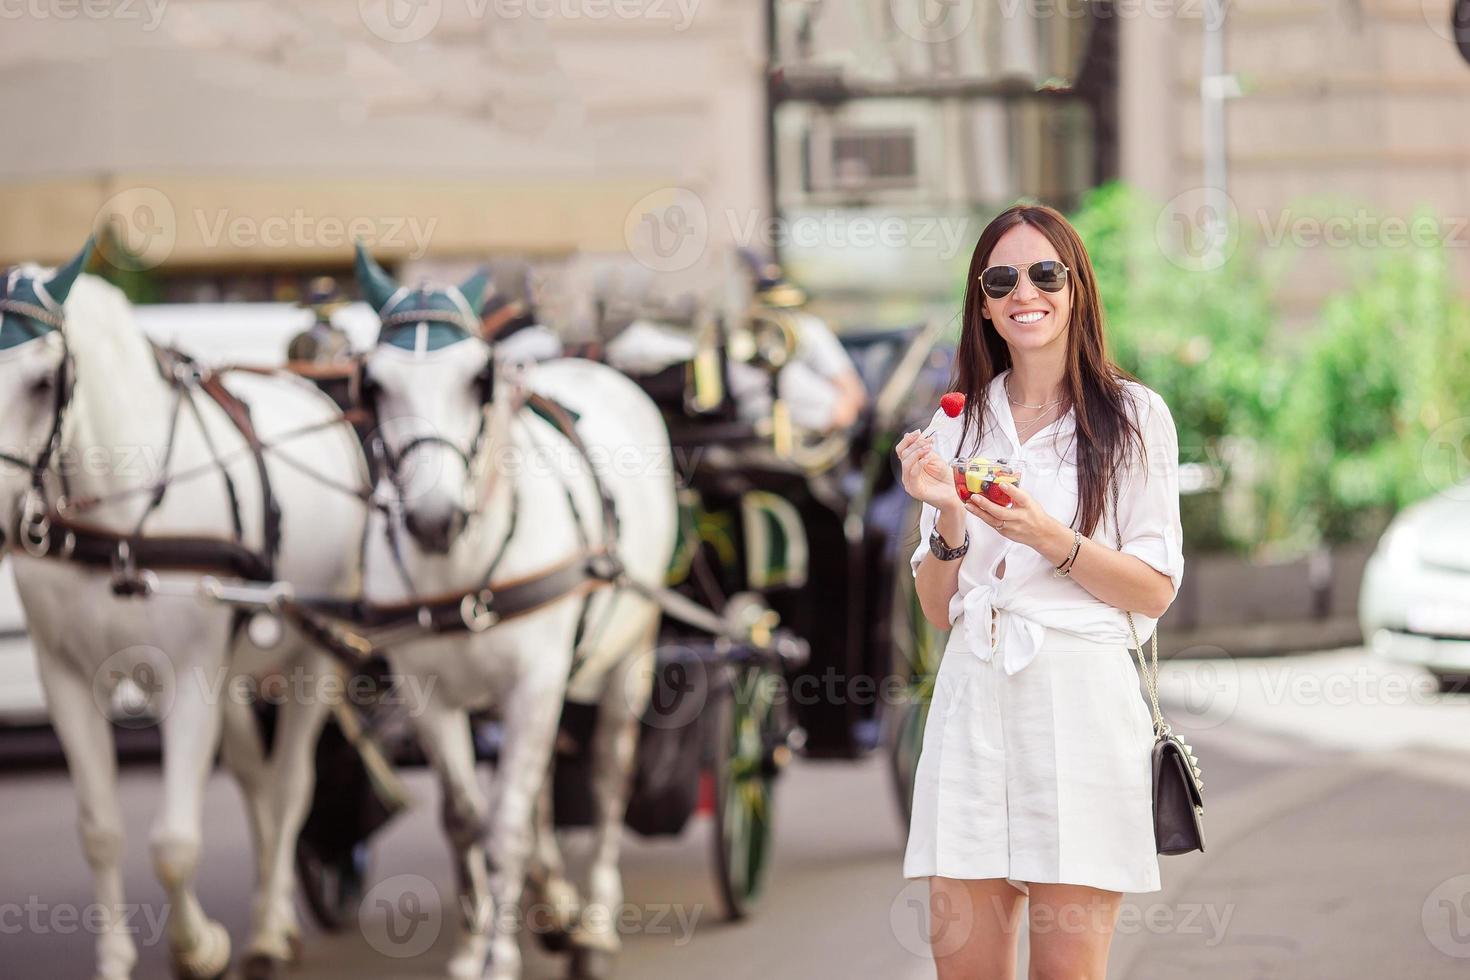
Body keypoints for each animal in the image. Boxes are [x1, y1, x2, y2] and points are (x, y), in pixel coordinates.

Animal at [0, 240, 366, 975]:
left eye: (42, 381)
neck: (120, 518)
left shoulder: (190, 675)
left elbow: (173, 842)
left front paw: (199, 947)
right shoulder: (65, 677)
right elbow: (101, 830)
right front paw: (116, 958)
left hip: (311, 659)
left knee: (289, 786)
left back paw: (270, 923)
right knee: (256, 781)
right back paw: (272, 917)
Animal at [352, 246, 679, 980]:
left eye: (480, 379)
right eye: (372, 385)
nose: (433, 519)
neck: (461, 568)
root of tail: (589, 360)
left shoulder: (534, 683)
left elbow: (504, 826)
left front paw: (499, 956)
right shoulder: (426, 693)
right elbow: (467, 820)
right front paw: (473, 945)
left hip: (630, 651)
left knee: (607, 776)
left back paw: (595, 919)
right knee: (539, 791)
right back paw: (556, 902)